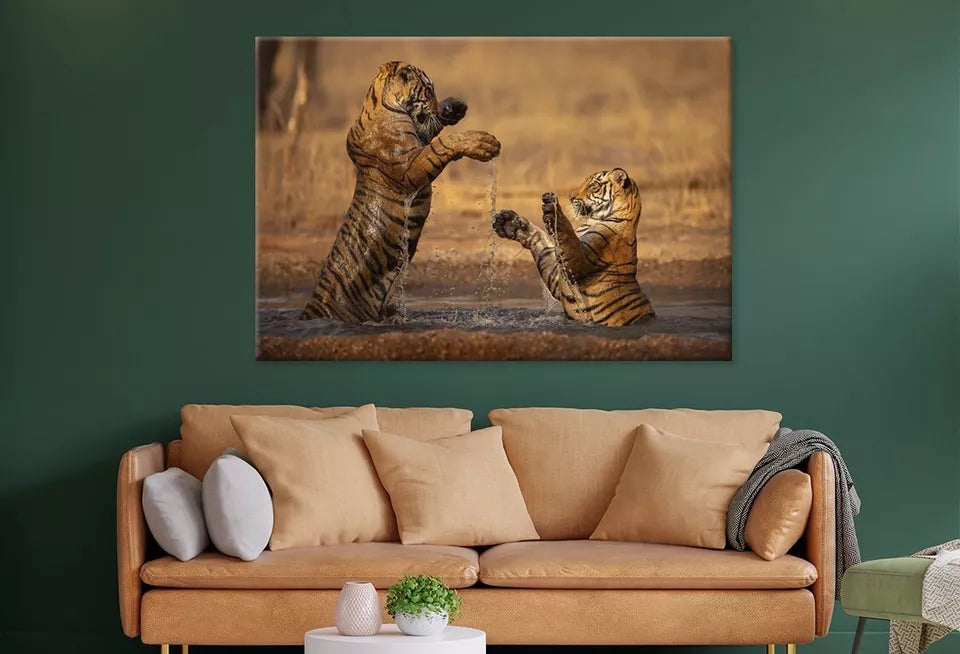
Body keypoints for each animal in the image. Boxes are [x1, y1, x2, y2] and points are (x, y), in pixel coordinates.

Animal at [299, 61, 501, 322]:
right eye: (428, 90)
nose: (441, 104)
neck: (377, 102)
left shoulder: (420, 136)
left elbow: (433, 128)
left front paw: (454, 106)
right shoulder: (409, 168)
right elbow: (440, 145)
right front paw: (483, 143)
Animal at [491, 168, 655, 327]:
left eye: (593, 185)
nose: (571, 197)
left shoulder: (579, 260)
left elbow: (568, 234)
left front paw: (554, 209)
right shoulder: (558, 276)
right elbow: (543, 245)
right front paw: (508, 222)